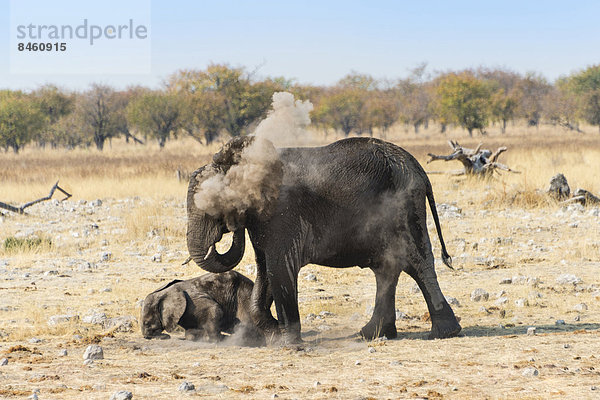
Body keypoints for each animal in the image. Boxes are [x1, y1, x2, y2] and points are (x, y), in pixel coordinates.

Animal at [185, 137, 462, 344]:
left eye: (211, 208)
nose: (229, 228)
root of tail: (418, 167)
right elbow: (265, 269)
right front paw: (273, 335)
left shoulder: (282, 213)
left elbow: (279, 267)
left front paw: (289, 342)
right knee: (388, 267)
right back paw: (373, 334)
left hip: (404, 205)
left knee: (416, 262)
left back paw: (444, 333)